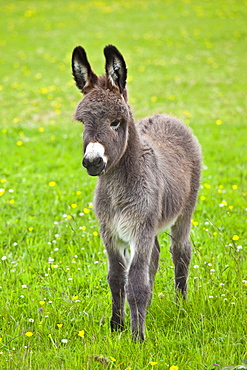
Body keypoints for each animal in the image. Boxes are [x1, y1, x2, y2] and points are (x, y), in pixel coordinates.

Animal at [72, 44, 203, 340]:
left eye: (116, 122)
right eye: (82, 122)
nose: (93, 162)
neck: (118, 188)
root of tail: (167, 116)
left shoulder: (138, 231)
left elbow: (135, 283)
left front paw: (137, 338)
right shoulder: (110, 233)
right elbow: (116, 278)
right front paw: (117, 326)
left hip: (184, 211)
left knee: (181, 251)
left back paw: (180, 305)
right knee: (155, 256)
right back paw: (151, 307)